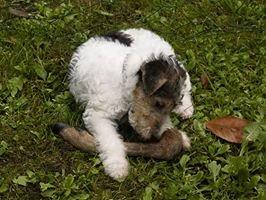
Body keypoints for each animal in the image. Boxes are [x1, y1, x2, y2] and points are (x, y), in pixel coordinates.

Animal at [68, 27, 193, 180]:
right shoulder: (98, 115)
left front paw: (179, 135)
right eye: (158, 104)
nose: (154, 134)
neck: (124, 80)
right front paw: (117, 167)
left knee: (187, 85)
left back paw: (186, 109)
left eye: (169, 107)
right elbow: (111, 140)